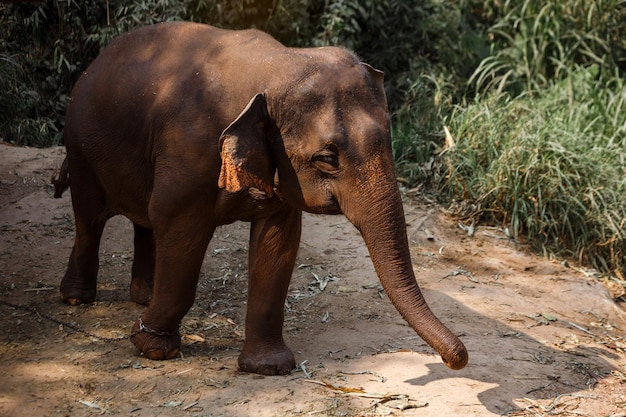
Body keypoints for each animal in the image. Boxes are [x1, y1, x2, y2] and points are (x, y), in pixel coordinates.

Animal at [52, 21, 464, 376]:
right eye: (328, 158)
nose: (457, 358)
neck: (275, 64)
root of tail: (96, 61)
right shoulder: (188, 151)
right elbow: (179, 228)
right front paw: (152, 348)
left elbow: (278, 243)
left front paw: (268, 367)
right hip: (79, 144)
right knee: (90, 218)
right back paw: (77, 299)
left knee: (143, 219)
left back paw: (142, 296)